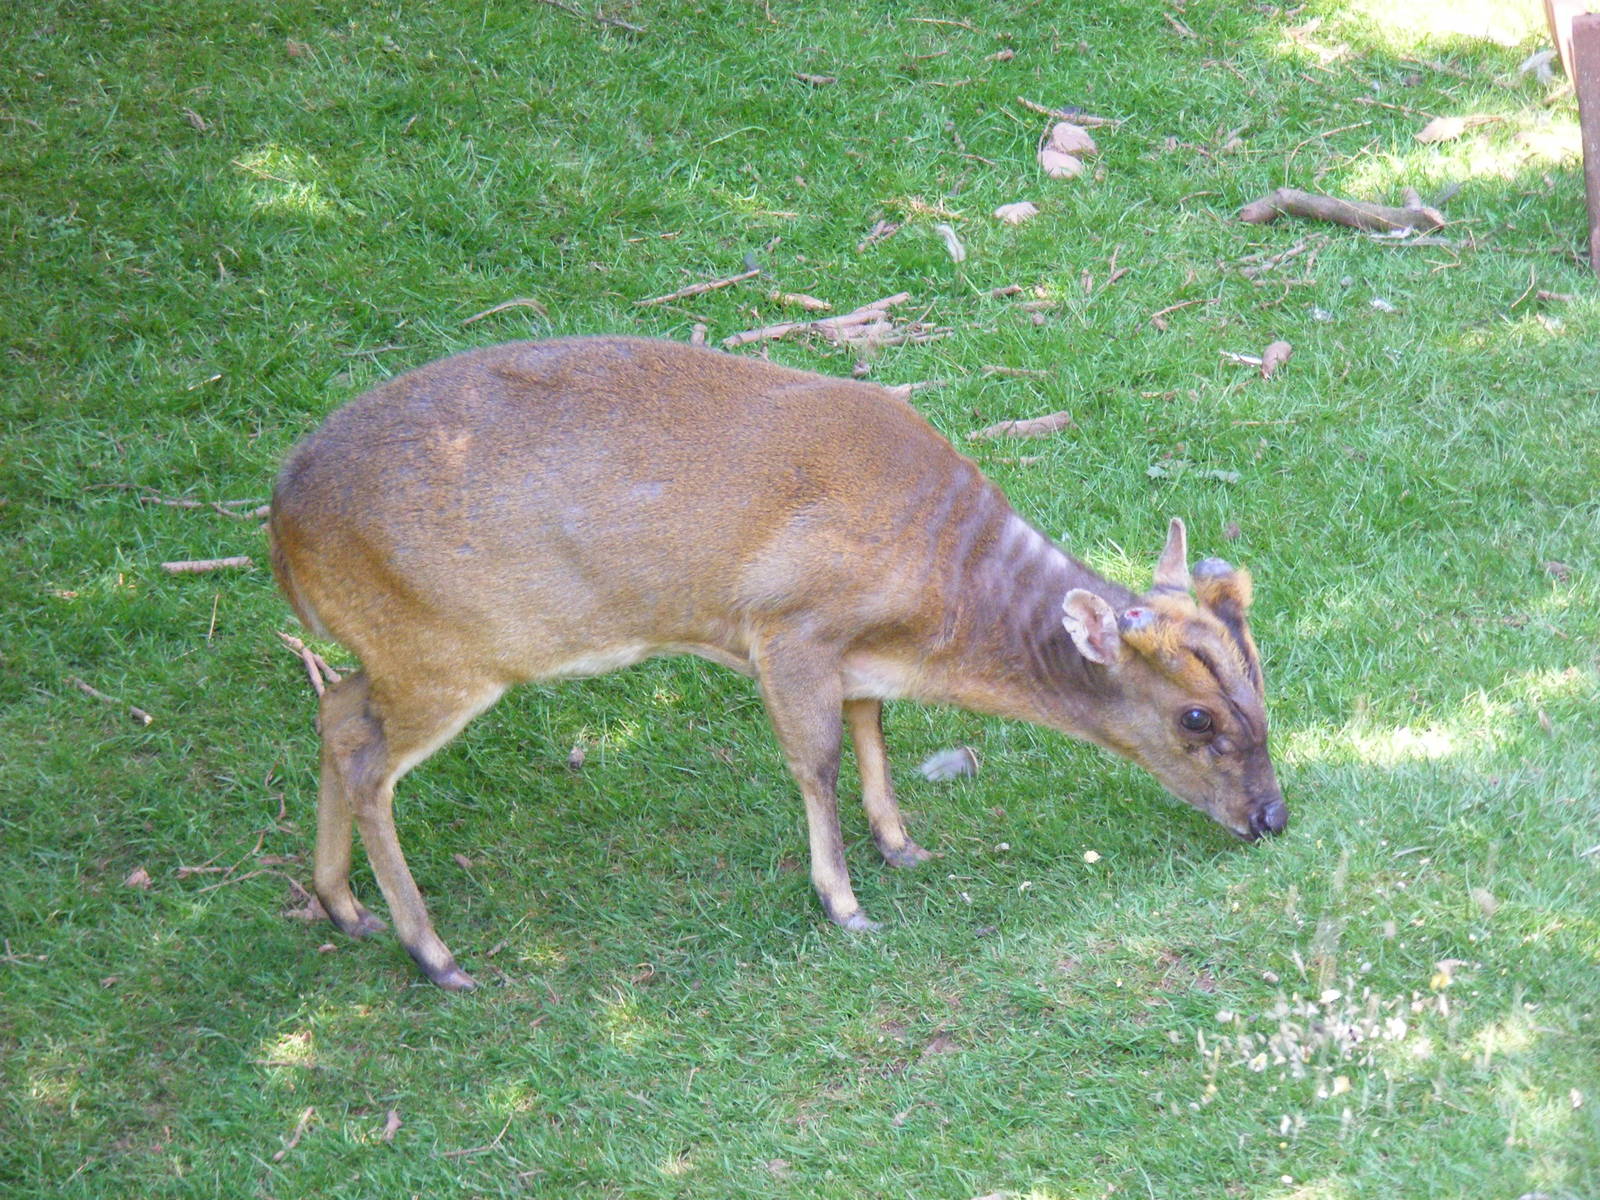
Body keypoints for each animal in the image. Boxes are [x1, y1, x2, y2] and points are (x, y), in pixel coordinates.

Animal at [269, 336, 1286, 990]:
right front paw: (845, 905)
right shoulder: (790, 627)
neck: (940, 596)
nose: (1271, 817)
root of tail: (280, 526)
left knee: (335, 710)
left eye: (1263, 685)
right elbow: (817, 761)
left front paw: (901, 844)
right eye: (1197, 717)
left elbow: (874, 734)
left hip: (396, 650)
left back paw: (343, 906)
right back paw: (433, 955)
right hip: (445, 649)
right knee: (366, 757)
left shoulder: (855, 656)